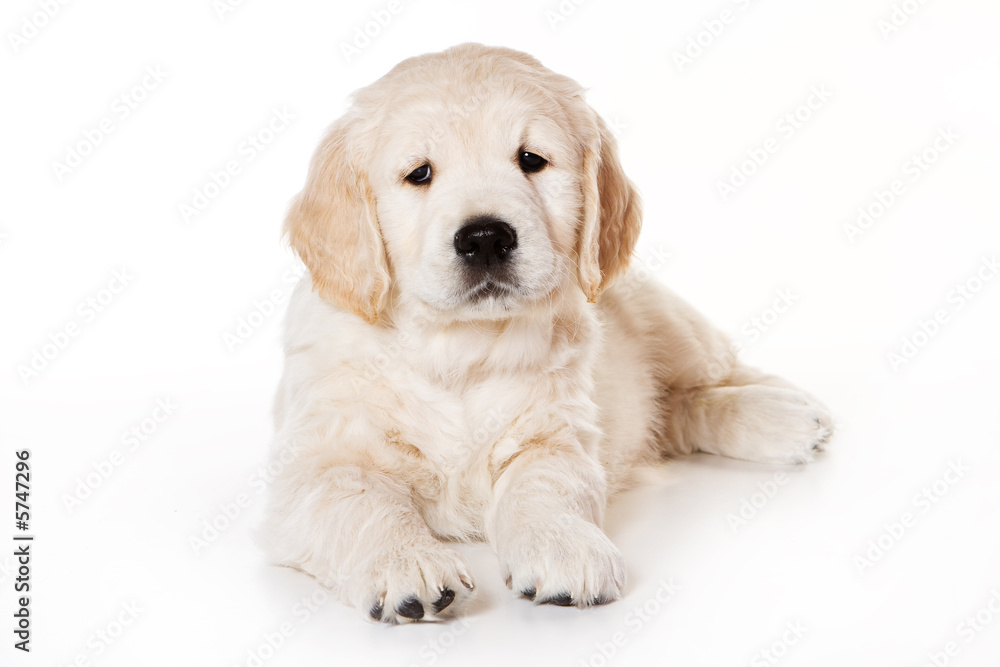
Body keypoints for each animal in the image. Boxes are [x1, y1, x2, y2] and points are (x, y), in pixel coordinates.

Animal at [256, 43, 828, 628]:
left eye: (531, 160)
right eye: (419, 173)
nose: (485, 237)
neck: (457, 350)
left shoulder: (554, 431)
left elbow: (545, 486)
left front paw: (564, 548)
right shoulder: (315, 463)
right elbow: (359, 501)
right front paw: (406, 563)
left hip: (666, 320)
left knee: (707, 381)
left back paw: (787, 413)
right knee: (675, 413)